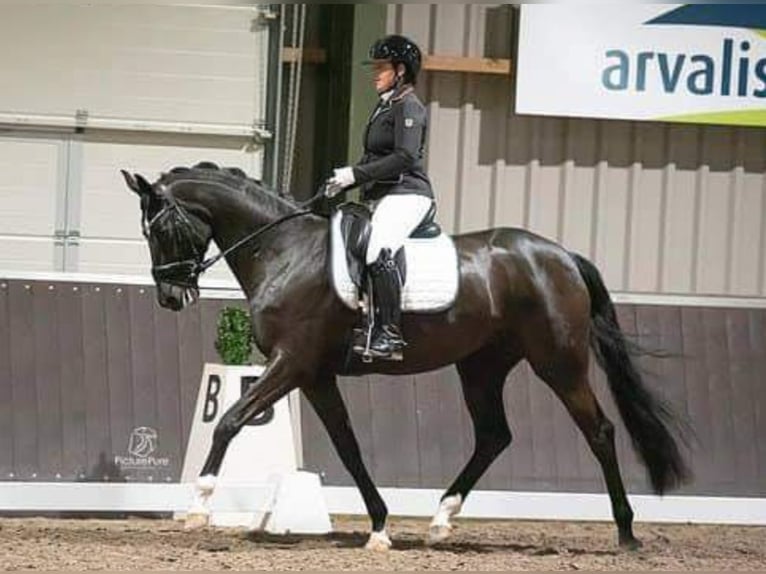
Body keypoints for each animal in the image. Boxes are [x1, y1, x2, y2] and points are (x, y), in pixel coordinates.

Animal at [121, 164, 688, 552]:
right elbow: (348, 447)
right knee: (493, 436)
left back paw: (626, 533)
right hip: (481, 366)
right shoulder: (316, 375)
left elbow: (231, 421)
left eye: (162, 229)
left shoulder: (292, 362)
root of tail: (562, 255)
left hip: (558, 363)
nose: (171, 297)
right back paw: (441, 519)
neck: (285, 251)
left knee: (599, 432)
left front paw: (199, 505)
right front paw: (378, 526)